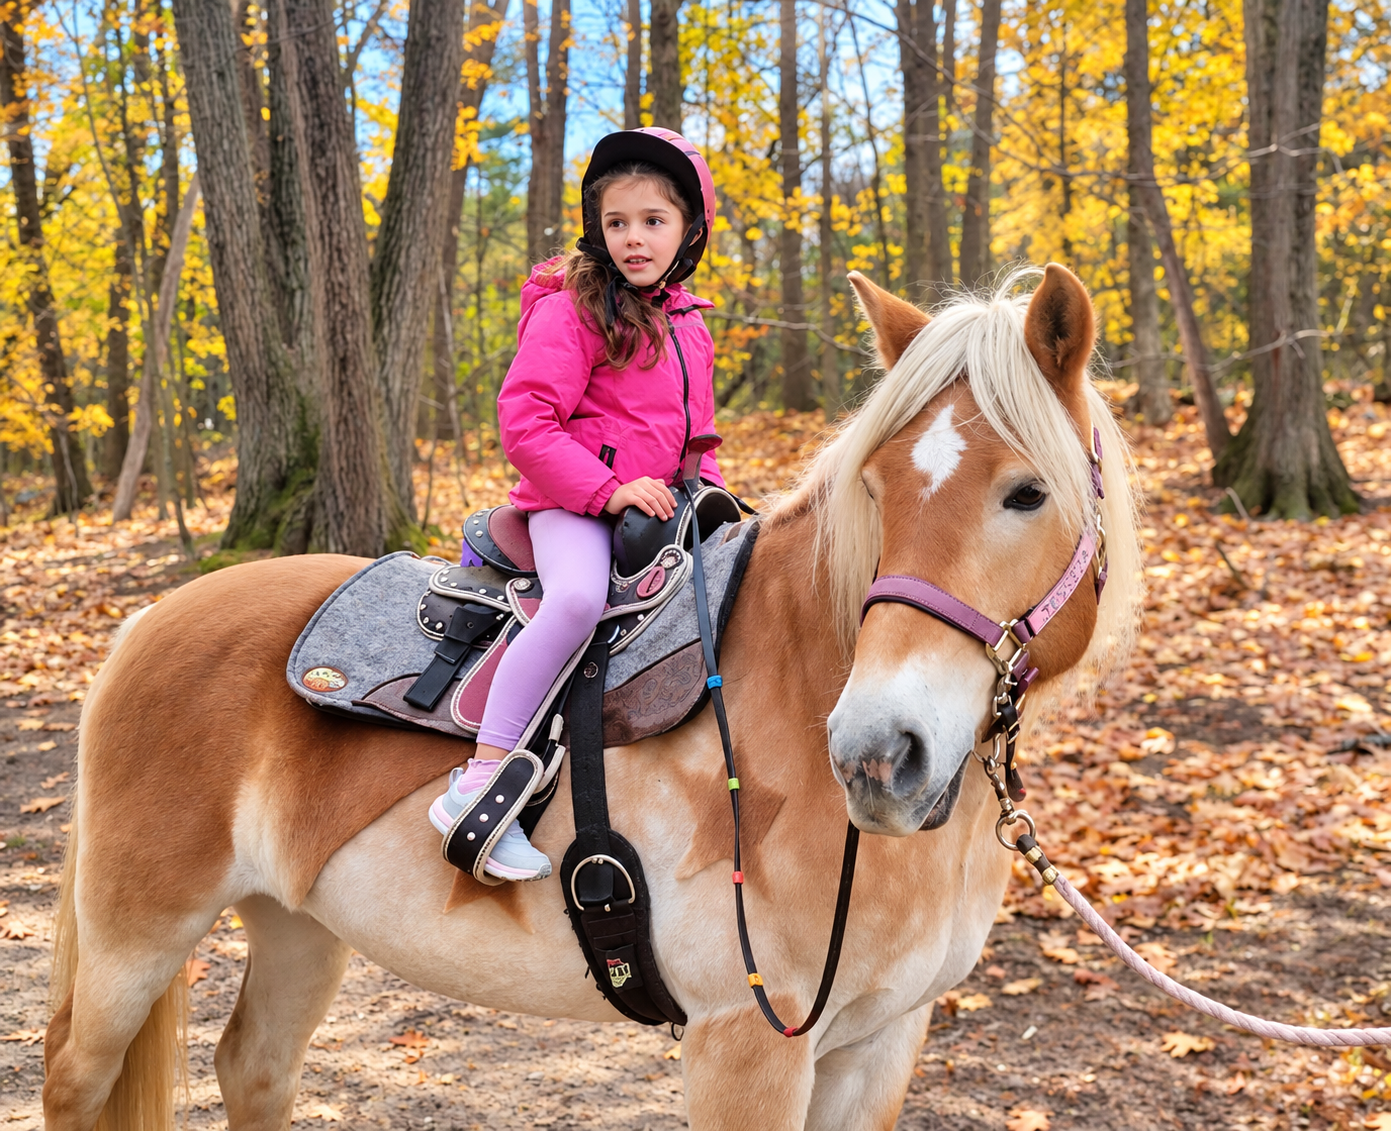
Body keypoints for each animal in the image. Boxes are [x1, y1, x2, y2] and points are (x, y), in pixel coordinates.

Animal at [42, 263, 1139, 1130]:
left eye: (1026, 492)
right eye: (872, 491)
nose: (878, 753)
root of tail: (148, 620)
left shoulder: (879, 1046)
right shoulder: (747, 1045)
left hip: (295, 924)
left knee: (253, 1069)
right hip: (136, 936)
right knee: (73, 1081)